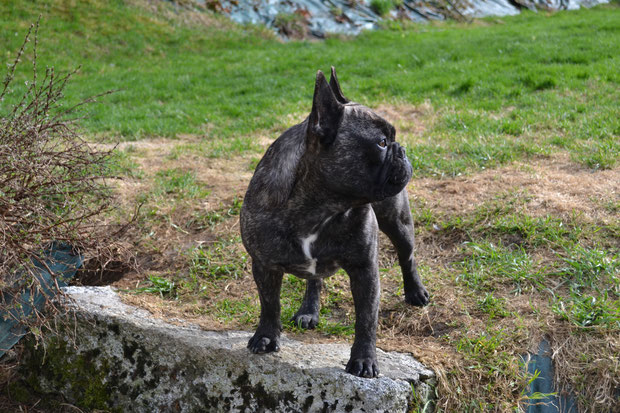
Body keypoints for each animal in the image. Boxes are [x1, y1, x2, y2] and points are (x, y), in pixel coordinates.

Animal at [240, 67, 428, 376]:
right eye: (381, 143)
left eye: (390, 140)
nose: (401, 149)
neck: (322, 206)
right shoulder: (264, 264)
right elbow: (269, 303)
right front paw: (266, 337)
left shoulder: (365, 270)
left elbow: (366, 319)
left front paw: (364, 361)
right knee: (314, 280)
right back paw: (309, 310)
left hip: (398, 221)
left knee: (407, 256)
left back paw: (415, 292)